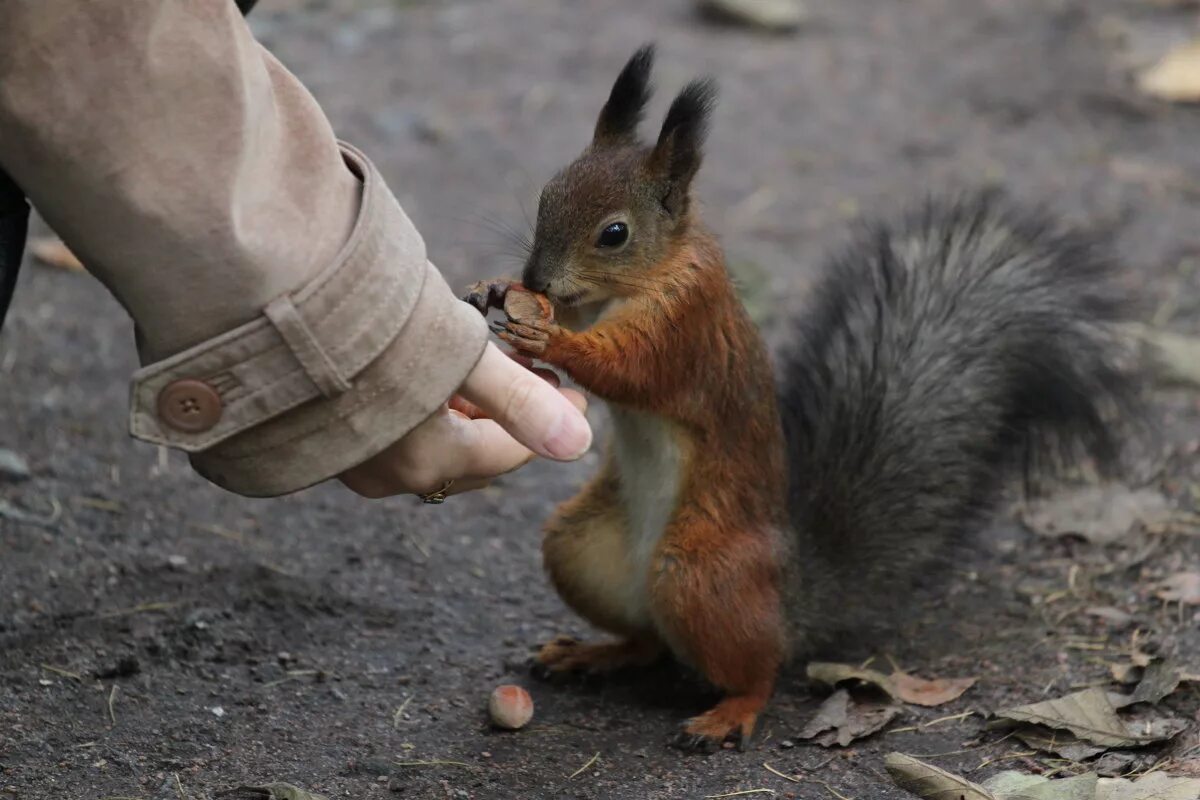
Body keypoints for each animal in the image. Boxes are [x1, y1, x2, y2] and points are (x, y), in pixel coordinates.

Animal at [458, 45, 1132, 758]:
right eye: (546, 194)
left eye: (614, 233)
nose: (534, 279)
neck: (642, 278)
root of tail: (788, 594)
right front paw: (496, 292)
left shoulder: (684, 325)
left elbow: (628, 369)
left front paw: (549, 334)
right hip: (581, 547)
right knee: (647, 641)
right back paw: (593, 653)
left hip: (700, 573)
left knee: (758, 668)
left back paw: (730, 711)